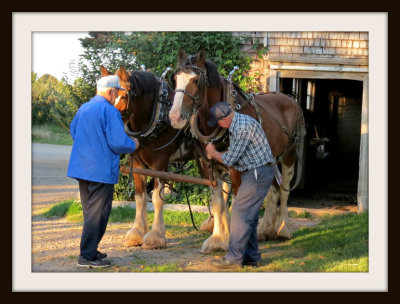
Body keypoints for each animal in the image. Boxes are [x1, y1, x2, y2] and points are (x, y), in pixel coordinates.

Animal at [101, 65, 192, 248]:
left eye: (123, 96)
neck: (158, 116)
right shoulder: (137, 165)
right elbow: (140, 197)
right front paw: (137, 233)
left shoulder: (160, 165)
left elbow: (157, 198)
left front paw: (156, 236)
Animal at [169, 50, 306, 254]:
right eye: (175, 79)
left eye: (196, 80)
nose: (175, 117)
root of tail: (289, 98)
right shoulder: (209, 166)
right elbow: (218, 203)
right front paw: (218, 240)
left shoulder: (236, 167)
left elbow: (238, 201)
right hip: (269, 157)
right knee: (273, 189)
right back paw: (265, 230)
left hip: (289, 155)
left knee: (283, 190)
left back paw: (283, 229)